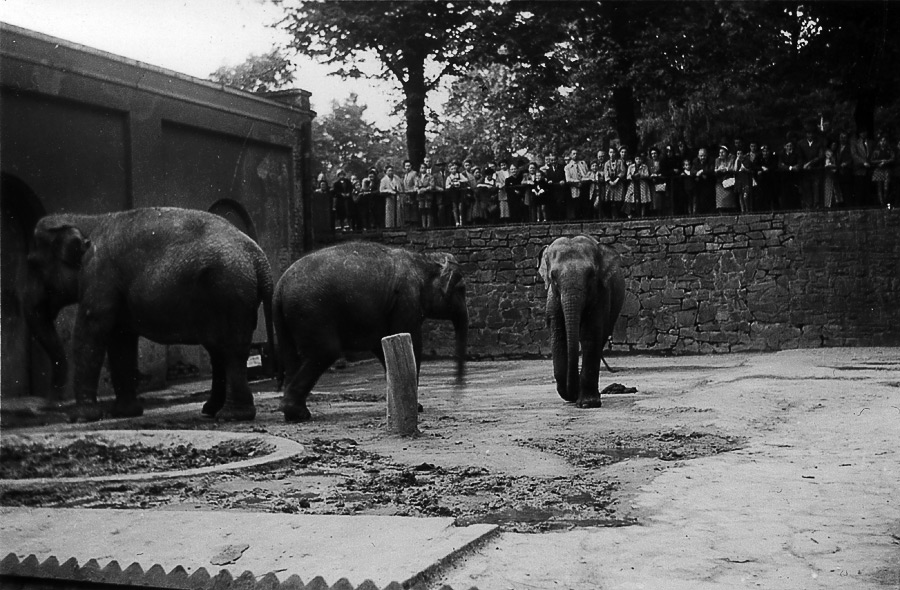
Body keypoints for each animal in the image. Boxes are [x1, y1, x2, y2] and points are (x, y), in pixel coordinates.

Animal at [20, 206, 274, 424]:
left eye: (32, 263)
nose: (46, 405)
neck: (86, 220)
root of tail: (259, 258)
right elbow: (120, 339)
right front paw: (124, 413)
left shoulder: (98, 274)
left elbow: (90, 331)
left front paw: (80, 418)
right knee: (219, 350)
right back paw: (211, 410)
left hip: (230, 291)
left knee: (231, 351)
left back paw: (231, 415)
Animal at [274, 243, 472, 424]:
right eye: (462, 289)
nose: (458, 390)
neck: (423, 260)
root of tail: (279, 287)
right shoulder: (406, 300)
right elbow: (413, 341)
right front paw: (417, 408)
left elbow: (381, 345)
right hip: (311, 312)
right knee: (325, 352)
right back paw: (297, 413)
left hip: (289, 320)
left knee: (293, 358)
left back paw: (294, 413)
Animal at [536, 234, 624, 410]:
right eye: (553, 277)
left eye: (591, 274)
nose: (573, 394)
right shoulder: (553, 298)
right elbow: (559, 336)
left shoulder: (601, 294)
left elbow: (590, 334)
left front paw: (587, 404)